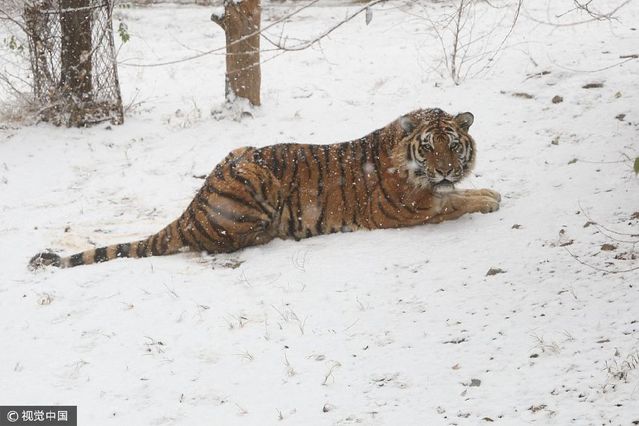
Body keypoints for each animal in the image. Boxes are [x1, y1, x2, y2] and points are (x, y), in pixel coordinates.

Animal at [30, 109, 500, 270]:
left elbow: (455, 196)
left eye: (453, 144)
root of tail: (189, 213)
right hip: (253, 174)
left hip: (240, 152)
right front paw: (489, 198)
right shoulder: (403, 209)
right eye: (430, 147)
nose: (446, 169)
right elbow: (454, 202)